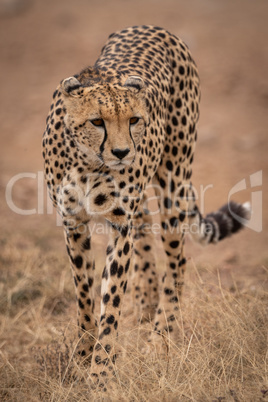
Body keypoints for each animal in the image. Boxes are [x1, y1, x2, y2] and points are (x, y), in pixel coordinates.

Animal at [42, 24, 249, 386]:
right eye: (97, 122)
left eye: (135, 120)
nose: (123, 152)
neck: (87, 162)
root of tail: (154, 27)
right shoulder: (73, 222)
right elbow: (84, 295)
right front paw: (82, 359)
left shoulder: (119, 224)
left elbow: (110, 301)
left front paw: (101, 373)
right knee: (146, 235)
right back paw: (145, 306)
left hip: (174, 182)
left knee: (177, 260)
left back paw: (159, 339)